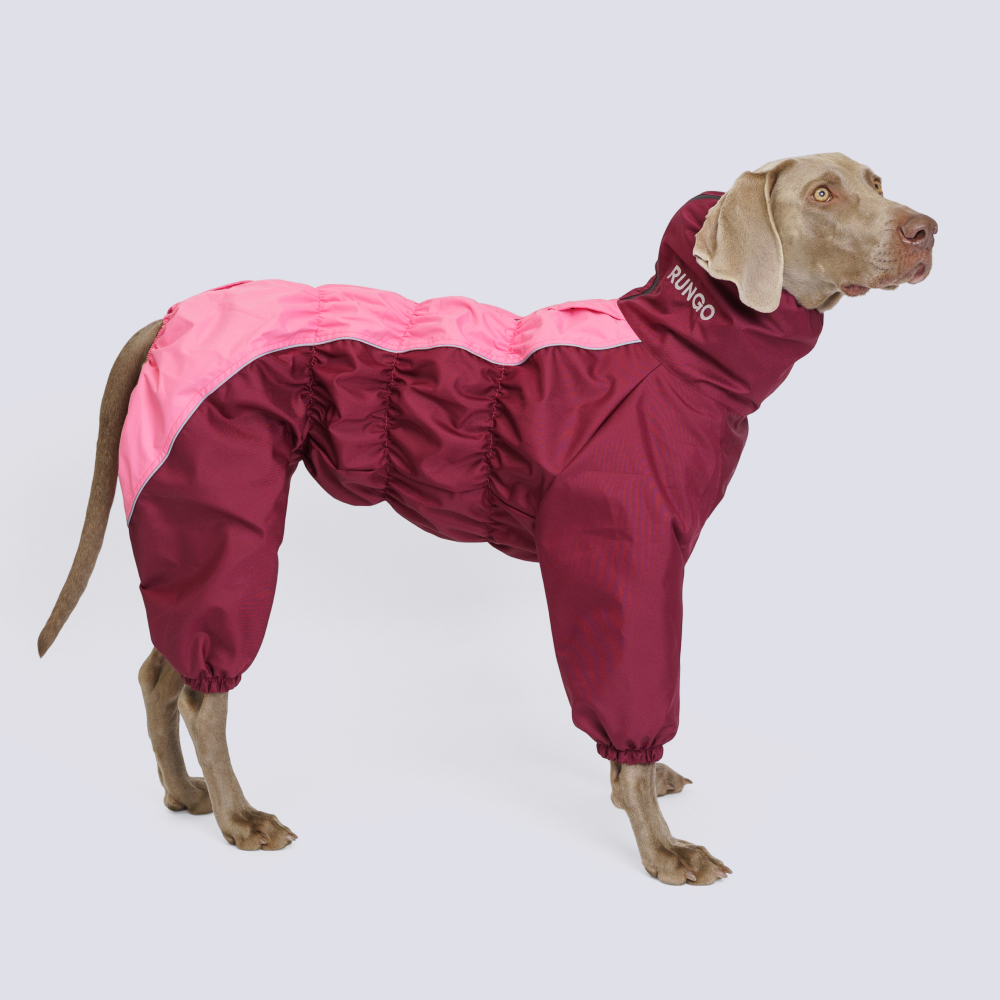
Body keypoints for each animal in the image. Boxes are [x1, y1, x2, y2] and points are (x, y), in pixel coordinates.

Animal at [38, 153, 936, 884]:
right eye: (823, 192)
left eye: (878, 181)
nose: (927, 228)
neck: (678, 351)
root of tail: (174, 316)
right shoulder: (618, 561)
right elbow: (634, 703)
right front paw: (660, 848)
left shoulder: (648, 567)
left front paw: (645, 784)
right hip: (228, 516)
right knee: (204, 691)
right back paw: (238, 817)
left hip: (186, 515)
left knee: (160, 670)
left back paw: (183, 794)